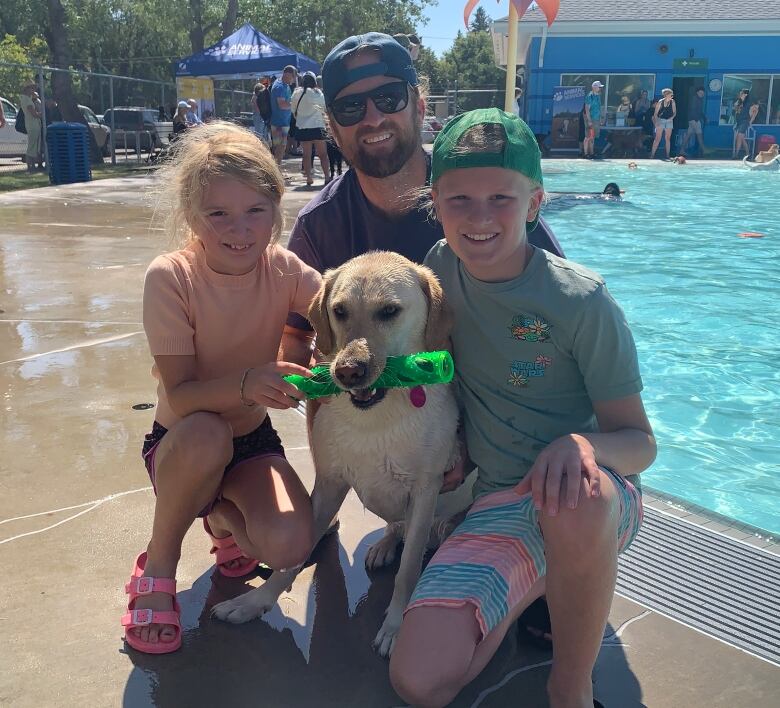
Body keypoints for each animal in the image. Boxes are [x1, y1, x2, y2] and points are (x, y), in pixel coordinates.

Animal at [210, 252, 472, 656]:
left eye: (390, 311)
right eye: (339, 310)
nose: (347, 372)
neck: (376, 419)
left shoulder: (426, 490)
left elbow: (409, 568)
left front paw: (395, 626)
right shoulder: (329, 484)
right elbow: (293, 557)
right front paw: (256, 602)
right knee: (396, 526)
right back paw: (384, 545)